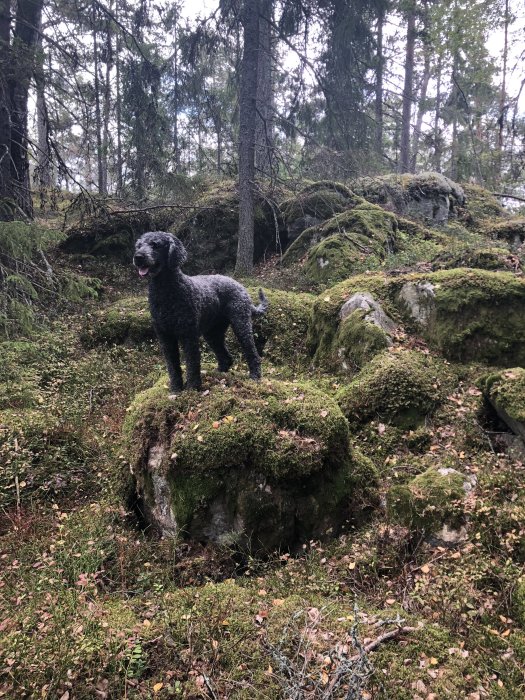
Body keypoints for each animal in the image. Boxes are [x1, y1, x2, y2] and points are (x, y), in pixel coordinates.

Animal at [133, 232, 268, 392]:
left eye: (155, 245)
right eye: (138, 246)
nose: (138, 257)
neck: (167, 292)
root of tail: (240, 286)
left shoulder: (188, 336)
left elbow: (192, 363)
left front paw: (192, 387)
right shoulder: (165, 337)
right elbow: (172, 366)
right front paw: (175, 389)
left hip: (241, 324)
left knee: (252, 353)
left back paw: (255, 376)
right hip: (212, 333)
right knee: (226, 357)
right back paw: (219, 373)